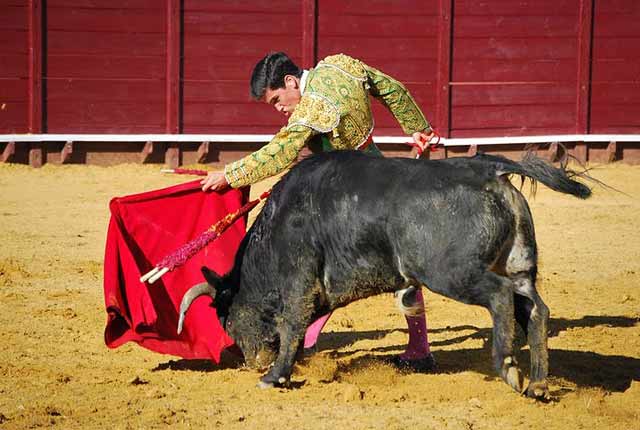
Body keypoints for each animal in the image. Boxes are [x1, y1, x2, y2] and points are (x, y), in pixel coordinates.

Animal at [178, 150, 588, 400]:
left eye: (227, 321)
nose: (253, 363)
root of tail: (490, 168)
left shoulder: (298, 280)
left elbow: (291, 325)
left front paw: (274, 377)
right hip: (519, 268)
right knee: (535, 309)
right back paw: (538, 384)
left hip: (452, 272)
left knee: (500, 296)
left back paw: (508, 368)